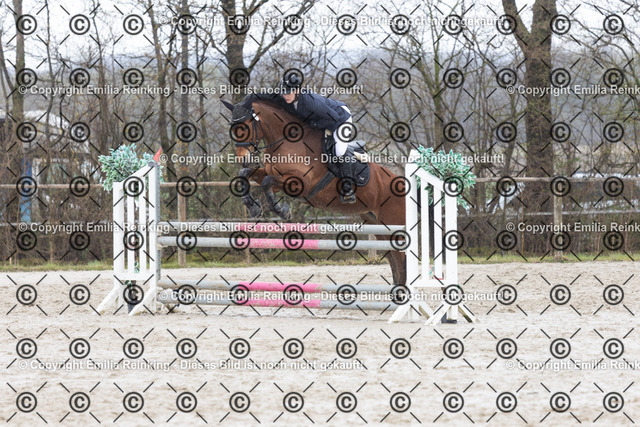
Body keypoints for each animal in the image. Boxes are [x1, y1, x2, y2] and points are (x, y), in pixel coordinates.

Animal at [222, 98, 408, 286]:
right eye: (232, 128)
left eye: (246, 126)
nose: (243, 159)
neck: (286, 142)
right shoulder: (275, 178)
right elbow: (246, 174)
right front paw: (253, 207)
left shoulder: (301, 183)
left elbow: (267, 182)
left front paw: (283, 210)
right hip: (377, 225)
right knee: (395, 261)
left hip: (393, 224)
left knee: (401, 259)